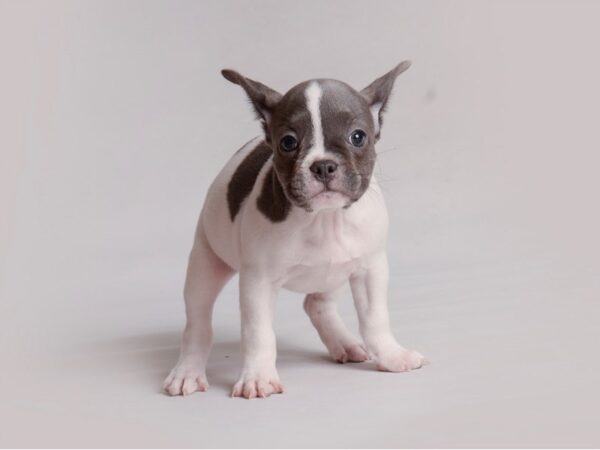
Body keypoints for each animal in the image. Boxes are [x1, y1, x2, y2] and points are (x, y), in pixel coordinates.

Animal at [164, 61, 424, 400]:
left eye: (358, 137)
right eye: (288, 142)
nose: (323, 165)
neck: (324, 219)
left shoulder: (370, 269)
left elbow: (375, 318)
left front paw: (392, 355)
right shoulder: (258, 283)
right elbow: (259, 333)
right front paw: (258, 377)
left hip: (335, 273)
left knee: (317, 304)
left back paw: (343, 343)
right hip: (205, 264)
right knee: (197, 322)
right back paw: (188, 372)